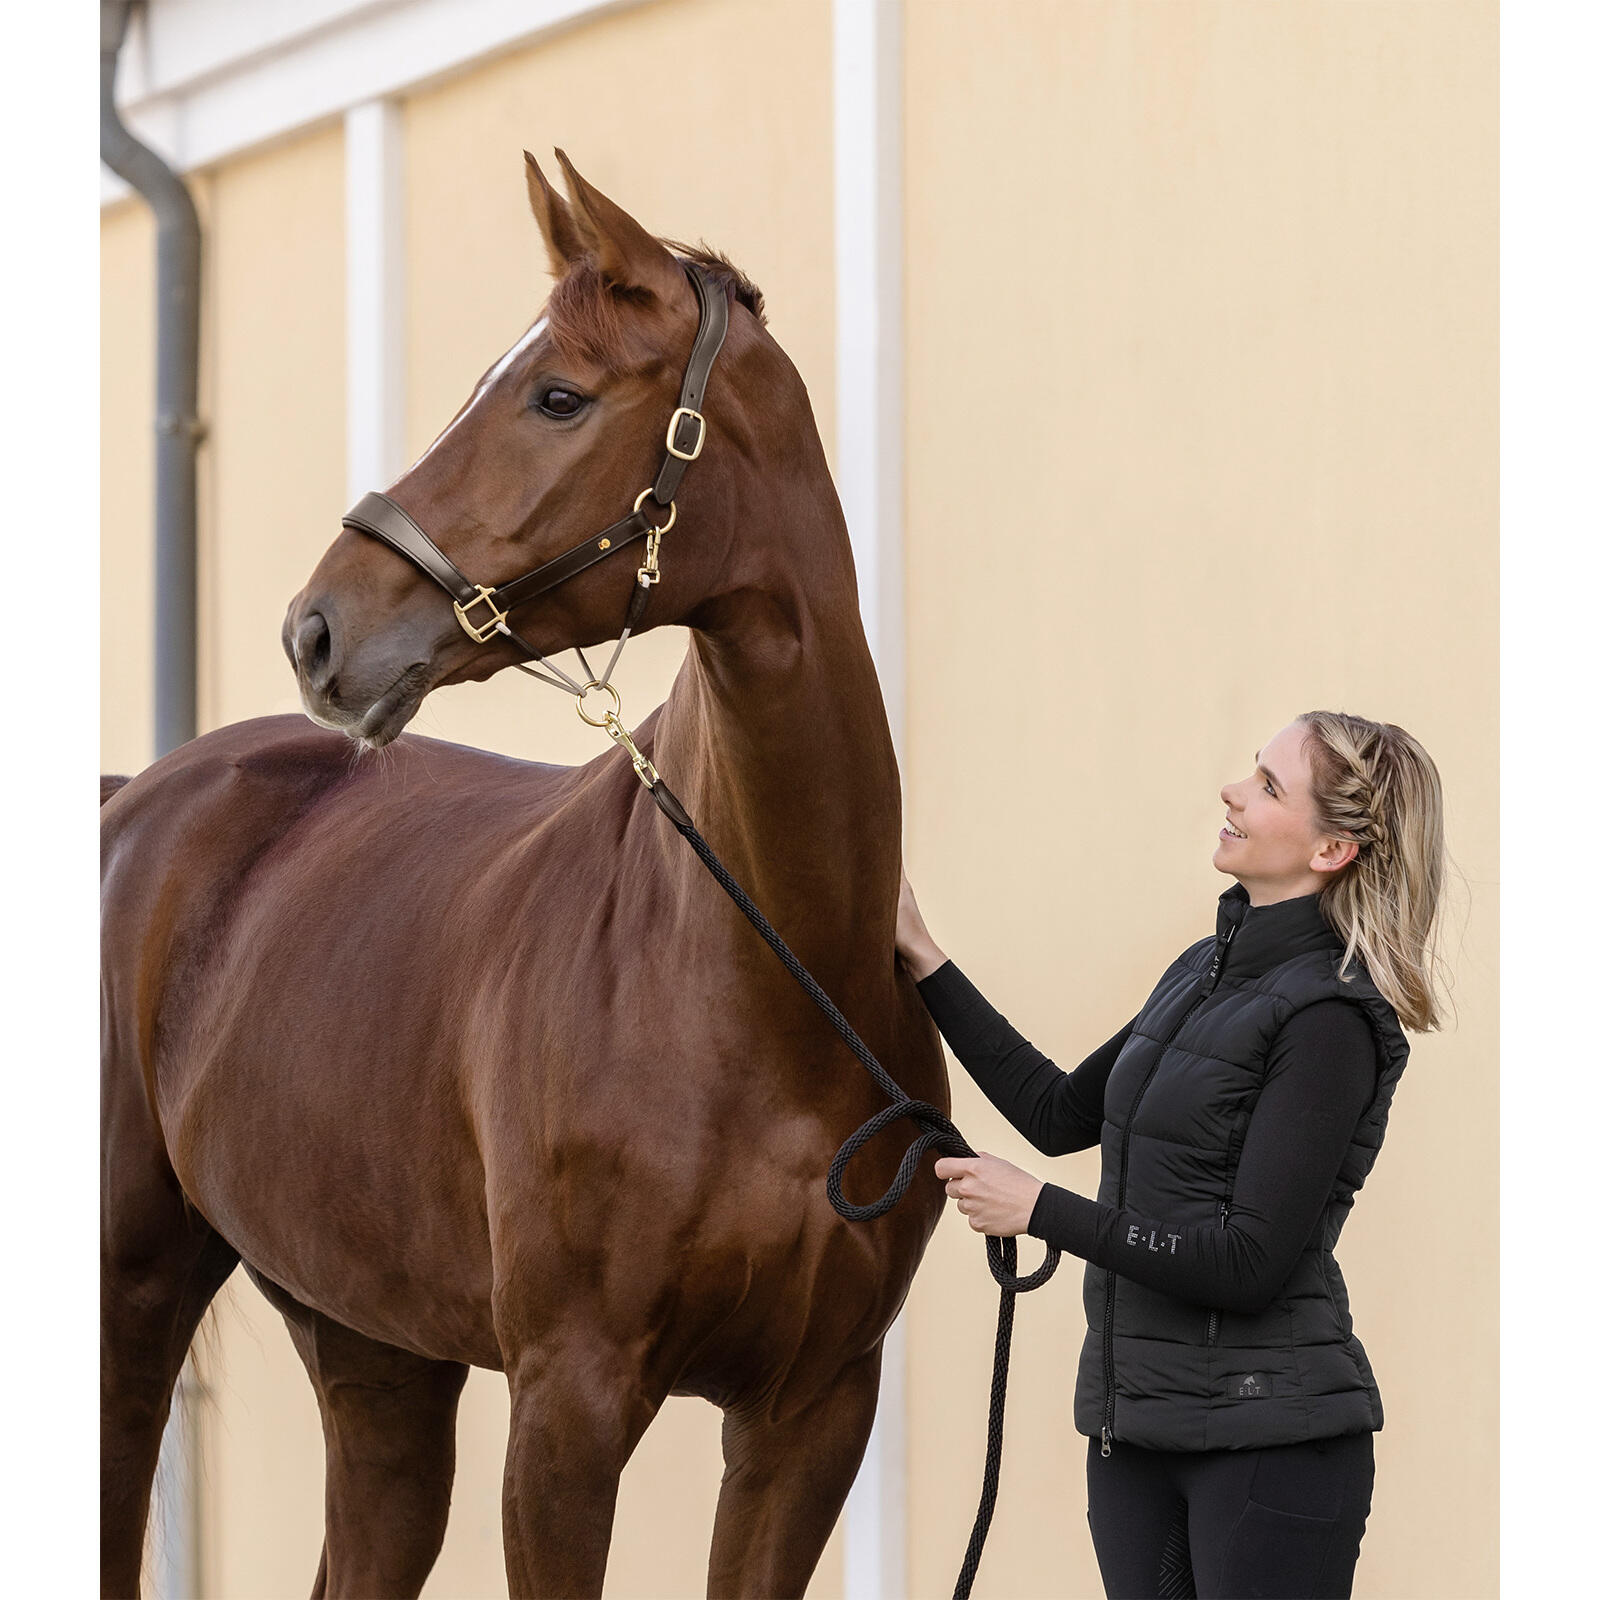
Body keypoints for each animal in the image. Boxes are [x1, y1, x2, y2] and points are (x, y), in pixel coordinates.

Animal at [101, 149, 949, 1598]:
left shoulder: (815, 1410)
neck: (758, 977)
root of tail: (129, 802)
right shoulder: (568, 1401)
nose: (316, 630)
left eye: (558, 395)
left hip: (373, 1351)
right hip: (129, 1301)